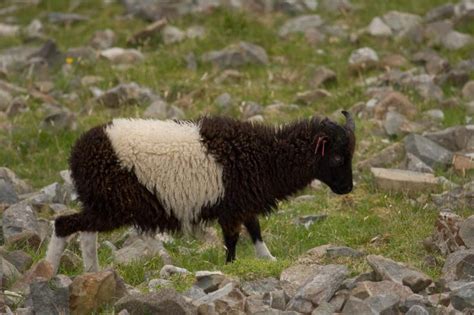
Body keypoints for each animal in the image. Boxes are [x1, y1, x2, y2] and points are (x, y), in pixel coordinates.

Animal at [45, 111, 356, 274]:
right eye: (337, 158)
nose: (348, 188)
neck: (266, 157)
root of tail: (77, 155)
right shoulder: (231, 207)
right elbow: (232, 240)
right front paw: (229, 268)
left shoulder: (241, 202)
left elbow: (255, 231)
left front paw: (268, 259)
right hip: (112, 206)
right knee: (63, 224)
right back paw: (49, 270)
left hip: (103, 205)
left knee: (85, 232)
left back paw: (92, 272)